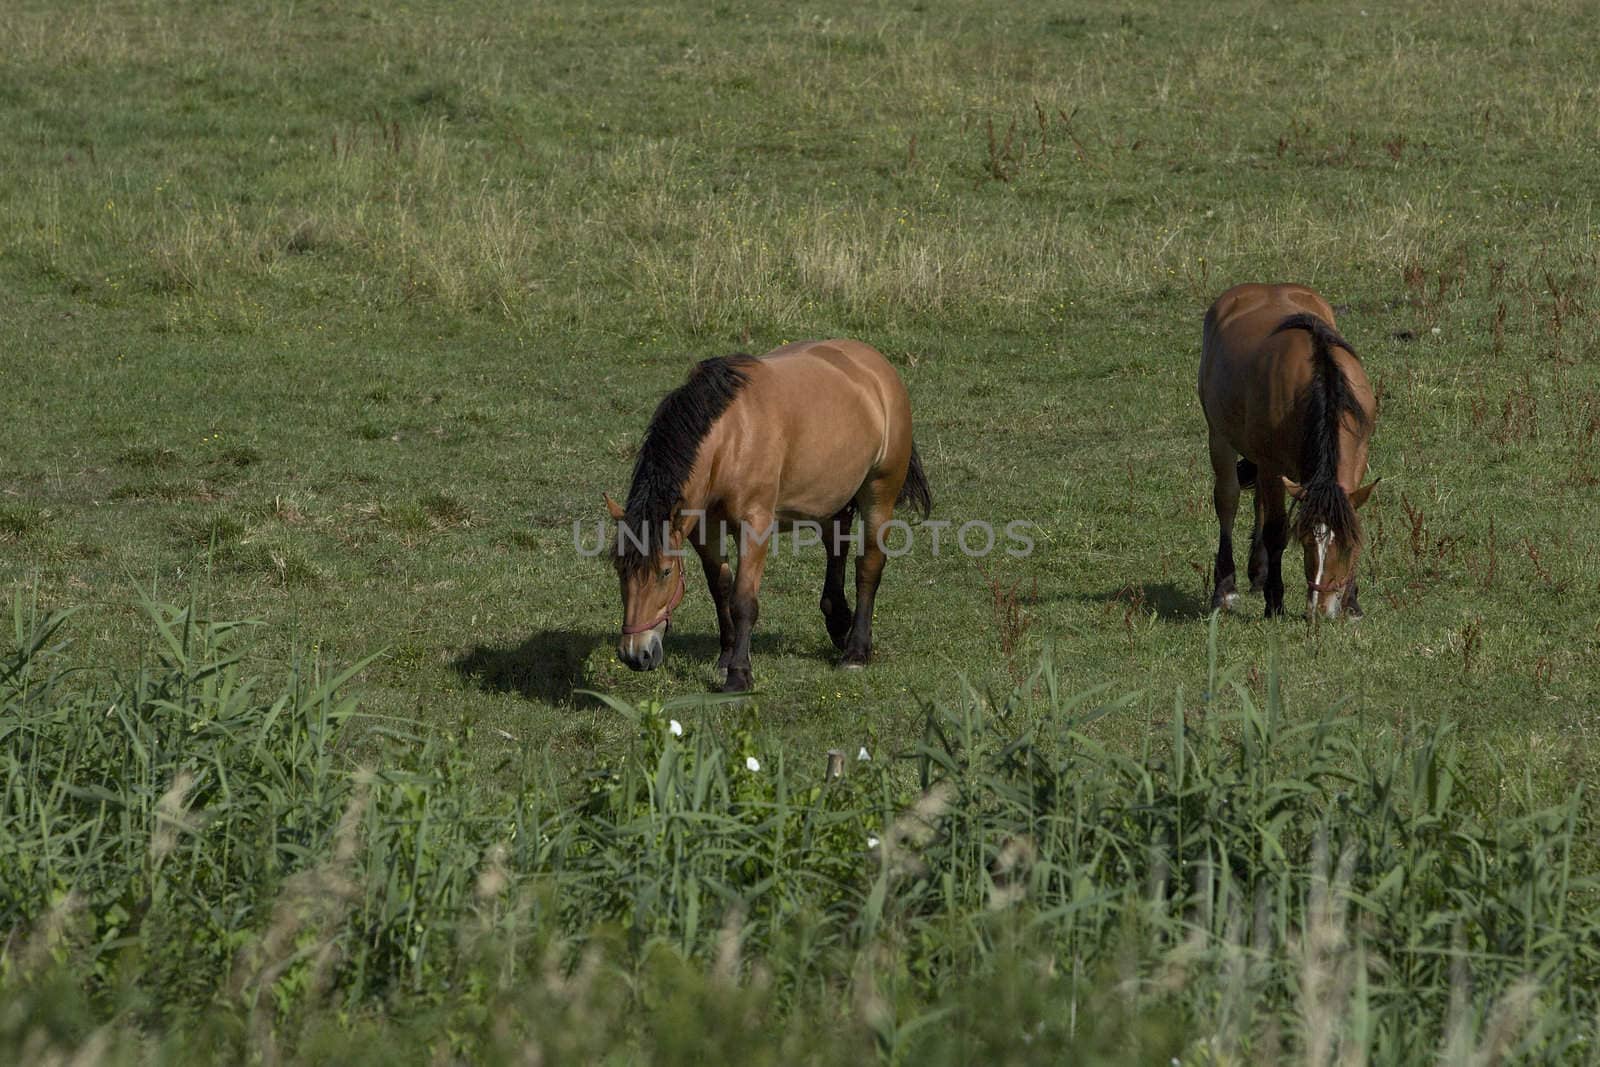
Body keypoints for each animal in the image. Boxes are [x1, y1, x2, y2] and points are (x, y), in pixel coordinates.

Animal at [601, 340, 934, 694]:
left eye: (664, 572)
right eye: (620, 570)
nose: (635, 654)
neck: (731, 437)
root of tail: (877, 367)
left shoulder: (755, 527)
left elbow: (743, 600)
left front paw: (738, 674)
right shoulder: (704, 529)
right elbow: (720, 588)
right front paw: (725, 656)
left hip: (879, 493)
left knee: (868, 566)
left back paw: (856, 651)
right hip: (830, 497)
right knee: (837, 547)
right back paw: (838, 622)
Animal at [1196, 283, 1382, 620]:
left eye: (1346, 546)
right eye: (1306, 541)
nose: (1319, 609)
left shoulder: (1359, 456)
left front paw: (1352, 602)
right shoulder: (1272, 465)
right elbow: (1276, 530)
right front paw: (1275, 601)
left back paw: (1257, 573)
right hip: (1220, 438)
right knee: (1228, 500)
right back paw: (1226, 591)